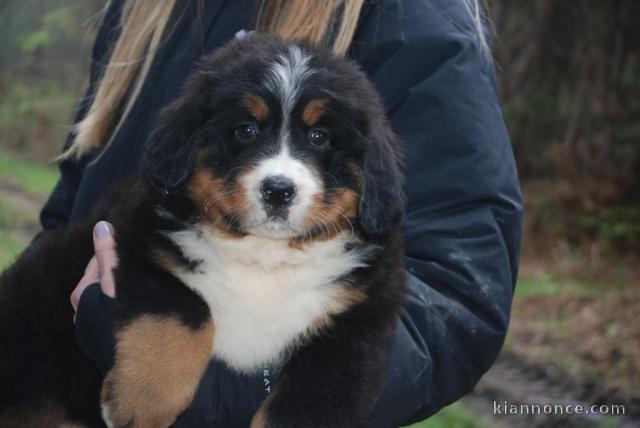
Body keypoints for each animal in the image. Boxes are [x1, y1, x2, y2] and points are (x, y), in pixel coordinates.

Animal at [0, 34, 408, 428]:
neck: (264, 257)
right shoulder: (141, 242)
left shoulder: (356, 325)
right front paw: (142, 401)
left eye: (319, 137)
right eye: (246, 130)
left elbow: (307, 405)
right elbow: (185, 307)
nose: (278, 190)